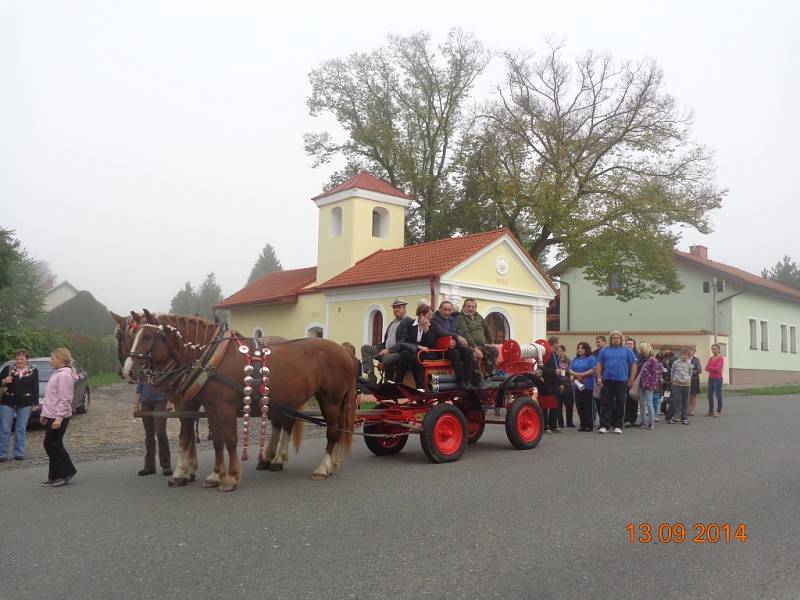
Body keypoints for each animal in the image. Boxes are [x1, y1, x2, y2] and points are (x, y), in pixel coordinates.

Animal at [124, 312, 356, 490]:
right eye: (133, 335)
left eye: (148, 336)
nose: (129, 371)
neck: (212, 358)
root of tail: (344, 350)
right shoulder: (210, 407)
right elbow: (215, 440)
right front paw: (214, 475)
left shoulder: (221, 407)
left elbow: (229, 439)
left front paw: (231, 477)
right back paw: (327, 464)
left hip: (331, 400)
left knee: (331, 432)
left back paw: (322, 468)